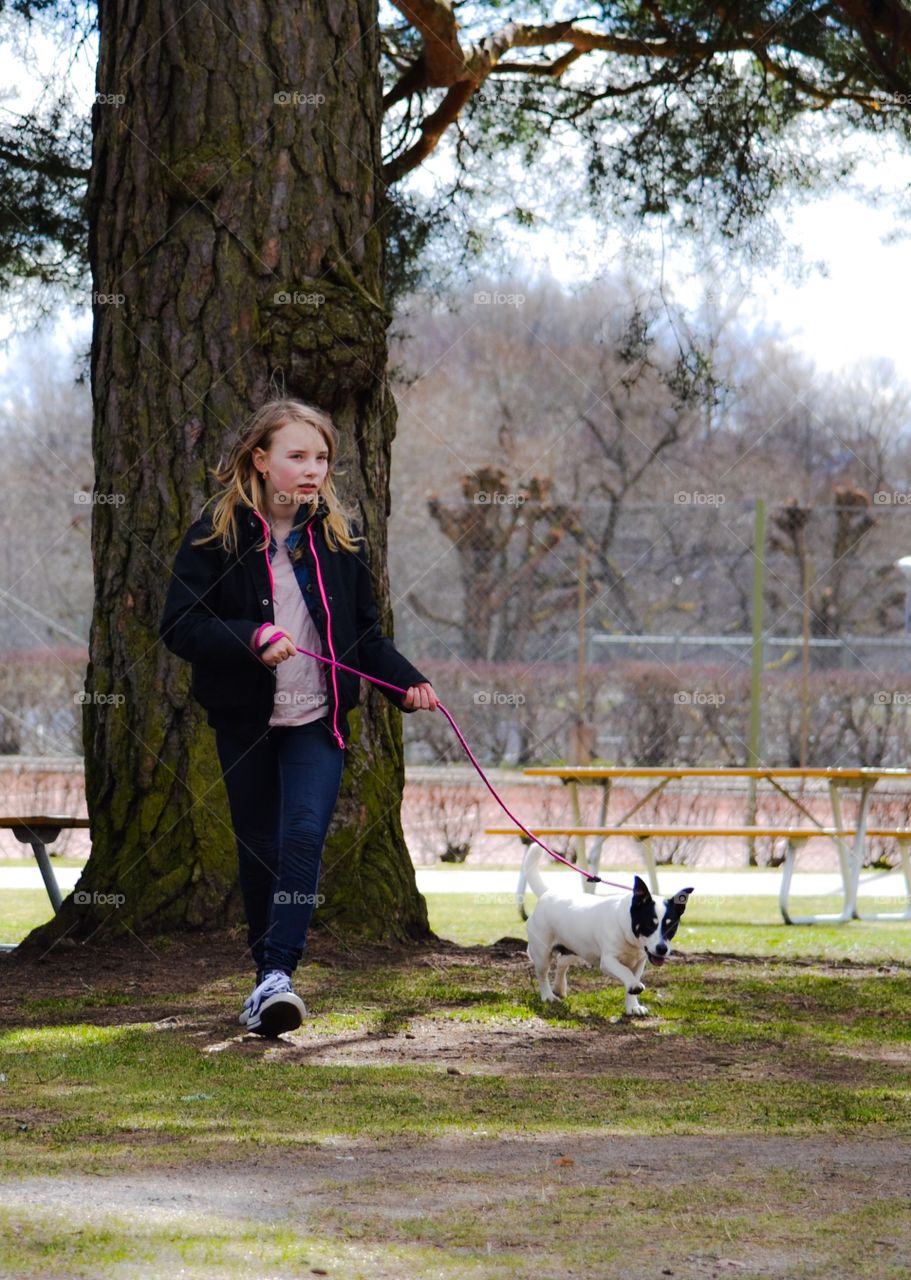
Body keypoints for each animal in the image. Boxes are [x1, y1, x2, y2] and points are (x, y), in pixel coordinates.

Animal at [516, 844, 696, 1013]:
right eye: (649, 924)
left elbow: (633, 975)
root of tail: (547, 893)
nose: (662, 949)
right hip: (542, 951)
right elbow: (626, 972)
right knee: (542, 973)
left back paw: (559, 988)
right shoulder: (608, 961)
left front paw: (633, 1006)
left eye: (671, 926)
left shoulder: (639, 962)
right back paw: (548, 995)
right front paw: (634, 986)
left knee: (562, 962)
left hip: (577, 948)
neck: (627, 931)